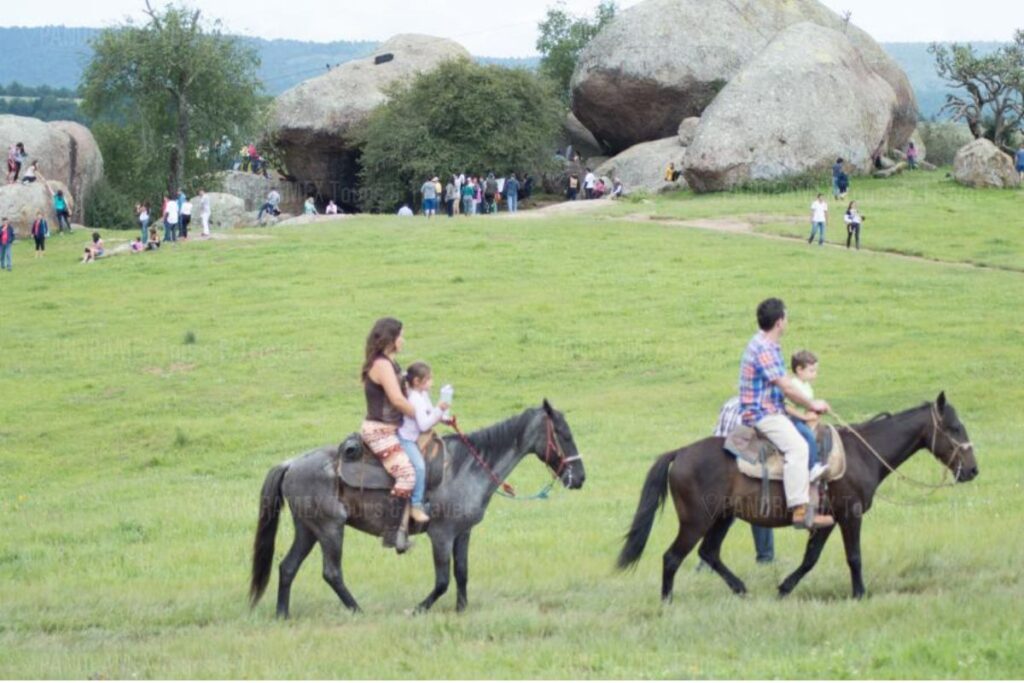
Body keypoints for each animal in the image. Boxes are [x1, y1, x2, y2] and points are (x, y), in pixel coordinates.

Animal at [247, 401, 585, 618]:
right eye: (565, 434)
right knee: (331, 572)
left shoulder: (463, 533)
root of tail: (291, 463)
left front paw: (461, 610)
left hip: (307, 529)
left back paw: (283, 615)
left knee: (287, 567)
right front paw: (419, 608)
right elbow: (443, 580)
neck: (466, 467)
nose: (579, 478)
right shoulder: (441, 535)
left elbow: (462, 572)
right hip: (330, 528)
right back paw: (357, 610)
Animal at [614, 393, 974, 602]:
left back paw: (741, 590)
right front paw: (860, 594)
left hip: (722, 518)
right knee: (672, 557)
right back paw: (667, 602)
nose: (972, 469)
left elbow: (810, 558)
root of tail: (680, 453)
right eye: (955, 428)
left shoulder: (827, 520)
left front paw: (784, 588)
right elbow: (854, 556)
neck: (861, 454)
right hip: (696, 521)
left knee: (709, 553)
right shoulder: (851, 514)